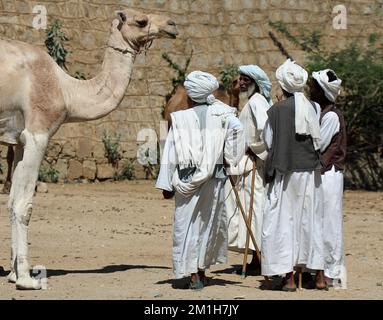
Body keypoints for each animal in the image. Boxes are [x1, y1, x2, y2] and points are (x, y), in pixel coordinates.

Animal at [0, 8, 178, 290]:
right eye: (141, 21)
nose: (172, 24)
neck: (67, 90)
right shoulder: (38, 133)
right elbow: (24, 205)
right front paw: (27, 279)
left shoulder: (18, 141)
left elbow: (11, 202)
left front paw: (14, 274)